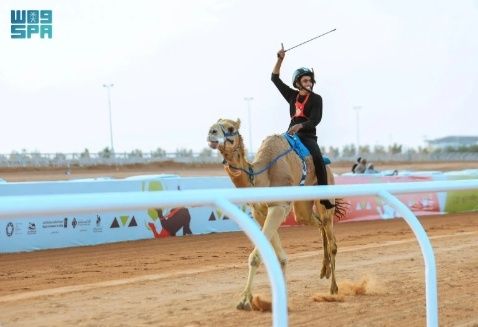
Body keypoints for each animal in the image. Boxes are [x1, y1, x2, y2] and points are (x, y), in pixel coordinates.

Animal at [207, 118, 346, 312]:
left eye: (230, 128)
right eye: (215, 123)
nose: (211, 132)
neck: (261, 176)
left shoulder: (278, 207)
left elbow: (257, 256)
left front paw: (244, 300)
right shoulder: (259, 211)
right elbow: (280, 257)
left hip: (325, 194)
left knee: (331, 236)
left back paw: (333, 288)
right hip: (302, 209)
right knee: (317, 224)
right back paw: (323, 270)